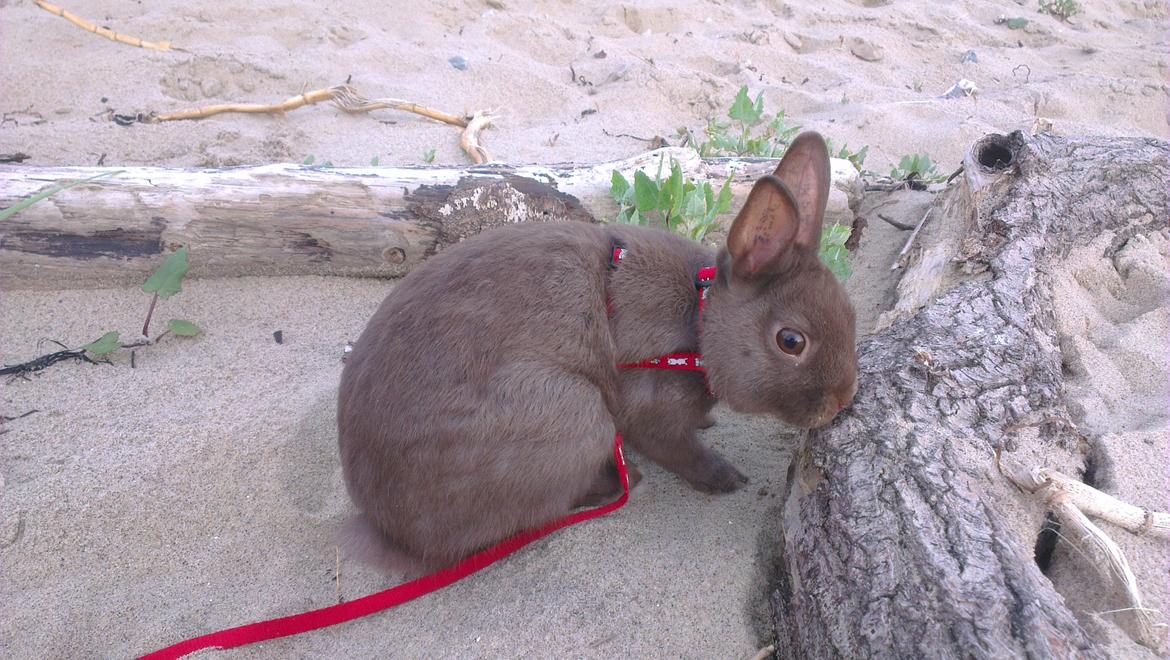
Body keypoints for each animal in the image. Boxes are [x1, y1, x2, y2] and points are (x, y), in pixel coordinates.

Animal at [339, 131, 861, 575]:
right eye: (791, 341)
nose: (842, 401)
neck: (701, 320)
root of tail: (393, 531)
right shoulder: (649, 410)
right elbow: (678, 450)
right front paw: (726, 477)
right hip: (575, 411)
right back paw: (615, 482)